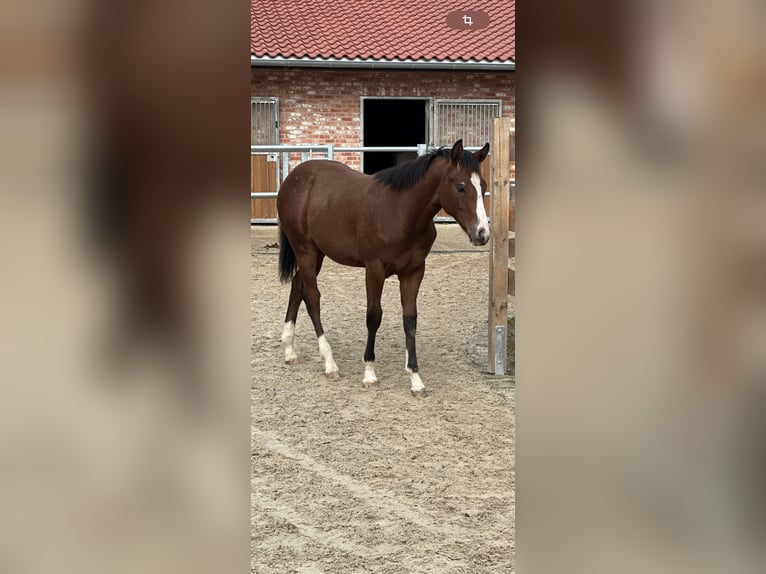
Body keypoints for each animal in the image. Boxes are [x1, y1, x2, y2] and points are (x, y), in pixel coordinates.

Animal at [280, 142, 488, 398]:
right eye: (461, 187)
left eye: (484, 186)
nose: (482, 233)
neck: (401, 211)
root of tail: (294, 179)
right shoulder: (374, 269)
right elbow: (373, 316)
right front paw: (369, 373)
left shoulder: (413, 271)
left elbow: (410, 319)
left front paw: (415, 379)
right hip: (305, 250)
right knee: (312, 298)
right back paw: (329, 363)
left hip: (317, 253)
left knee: (297, 287)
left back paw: (289, 350)